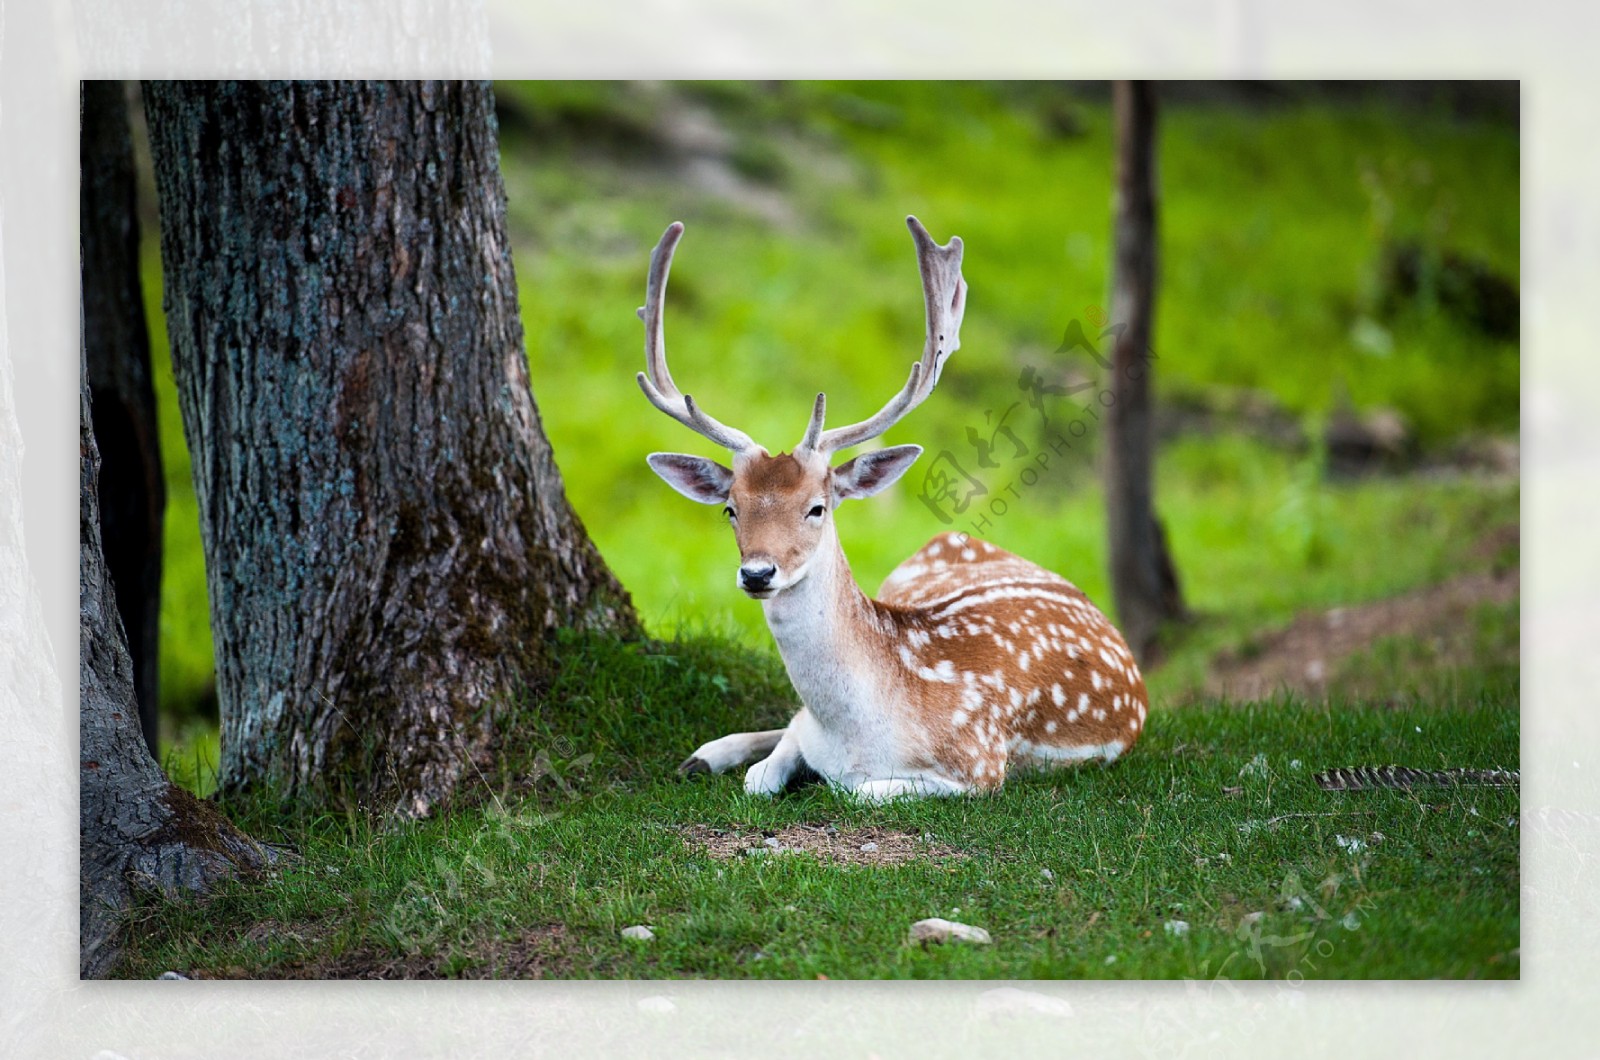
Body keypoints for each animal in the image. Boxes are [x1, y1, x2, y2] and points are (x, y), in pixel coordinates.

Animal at [630, 216, 1145, 800]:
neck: (856, 732)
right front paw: (727, 758)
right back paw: (704, 754)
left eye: (817, 508)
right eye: (731, 509)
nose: (758, 573)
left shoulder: (980, 765)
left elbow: (853, 789)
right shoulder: (809, 729)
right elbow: (766, 770)